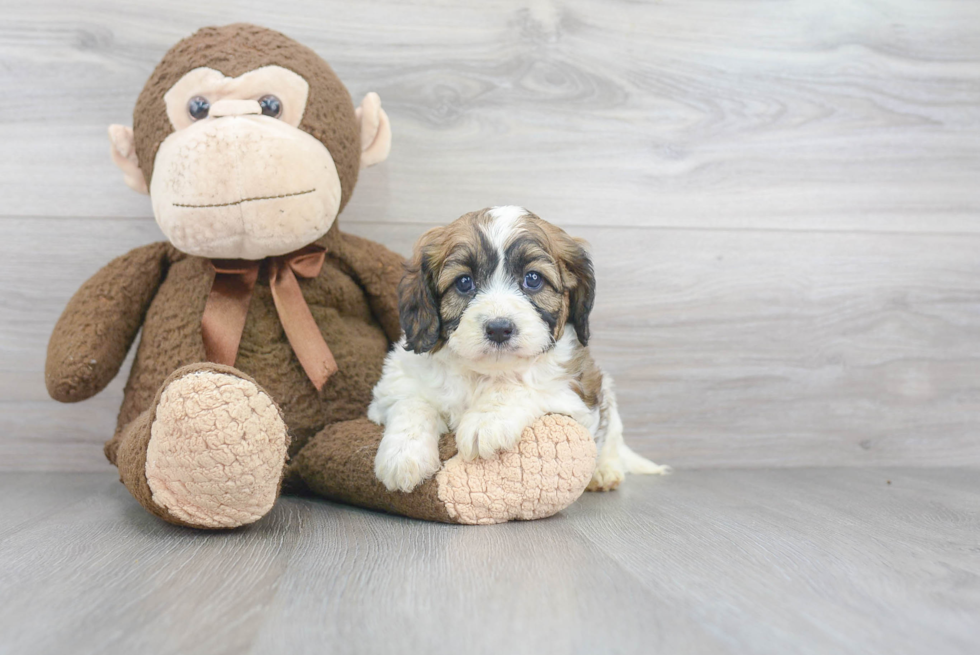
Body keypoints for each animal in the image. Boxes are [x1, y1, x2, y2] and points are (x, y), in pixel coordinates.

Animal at [366, 205, 668, 492]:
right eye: (464, 282)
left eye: (533, 279)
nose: (499, 328)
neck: (485, 373)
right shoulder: (391, 390)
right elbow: (411, 402)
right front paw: (403, 456)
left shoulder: (572, 392)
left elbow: (521, 387)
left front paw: (485, 422)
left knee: (612, 442)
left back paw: (604, 471)